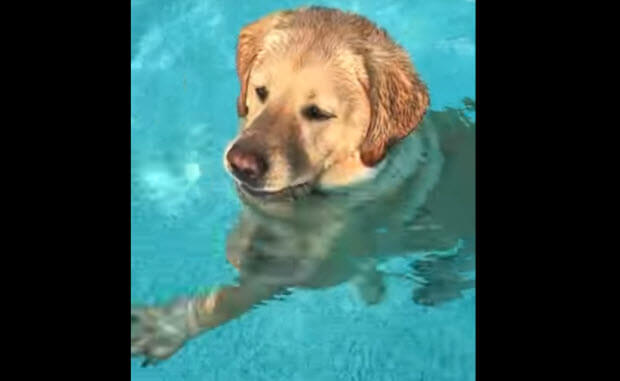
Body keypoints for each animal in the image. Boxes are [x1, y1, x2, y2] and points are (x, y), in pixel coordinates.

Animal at [130, 5, 474, 362]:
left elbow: (235, 295)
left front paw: (170, 325)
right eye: (261, 91)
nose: (241, 164)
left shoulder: (314, 269)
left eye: (318, 112)